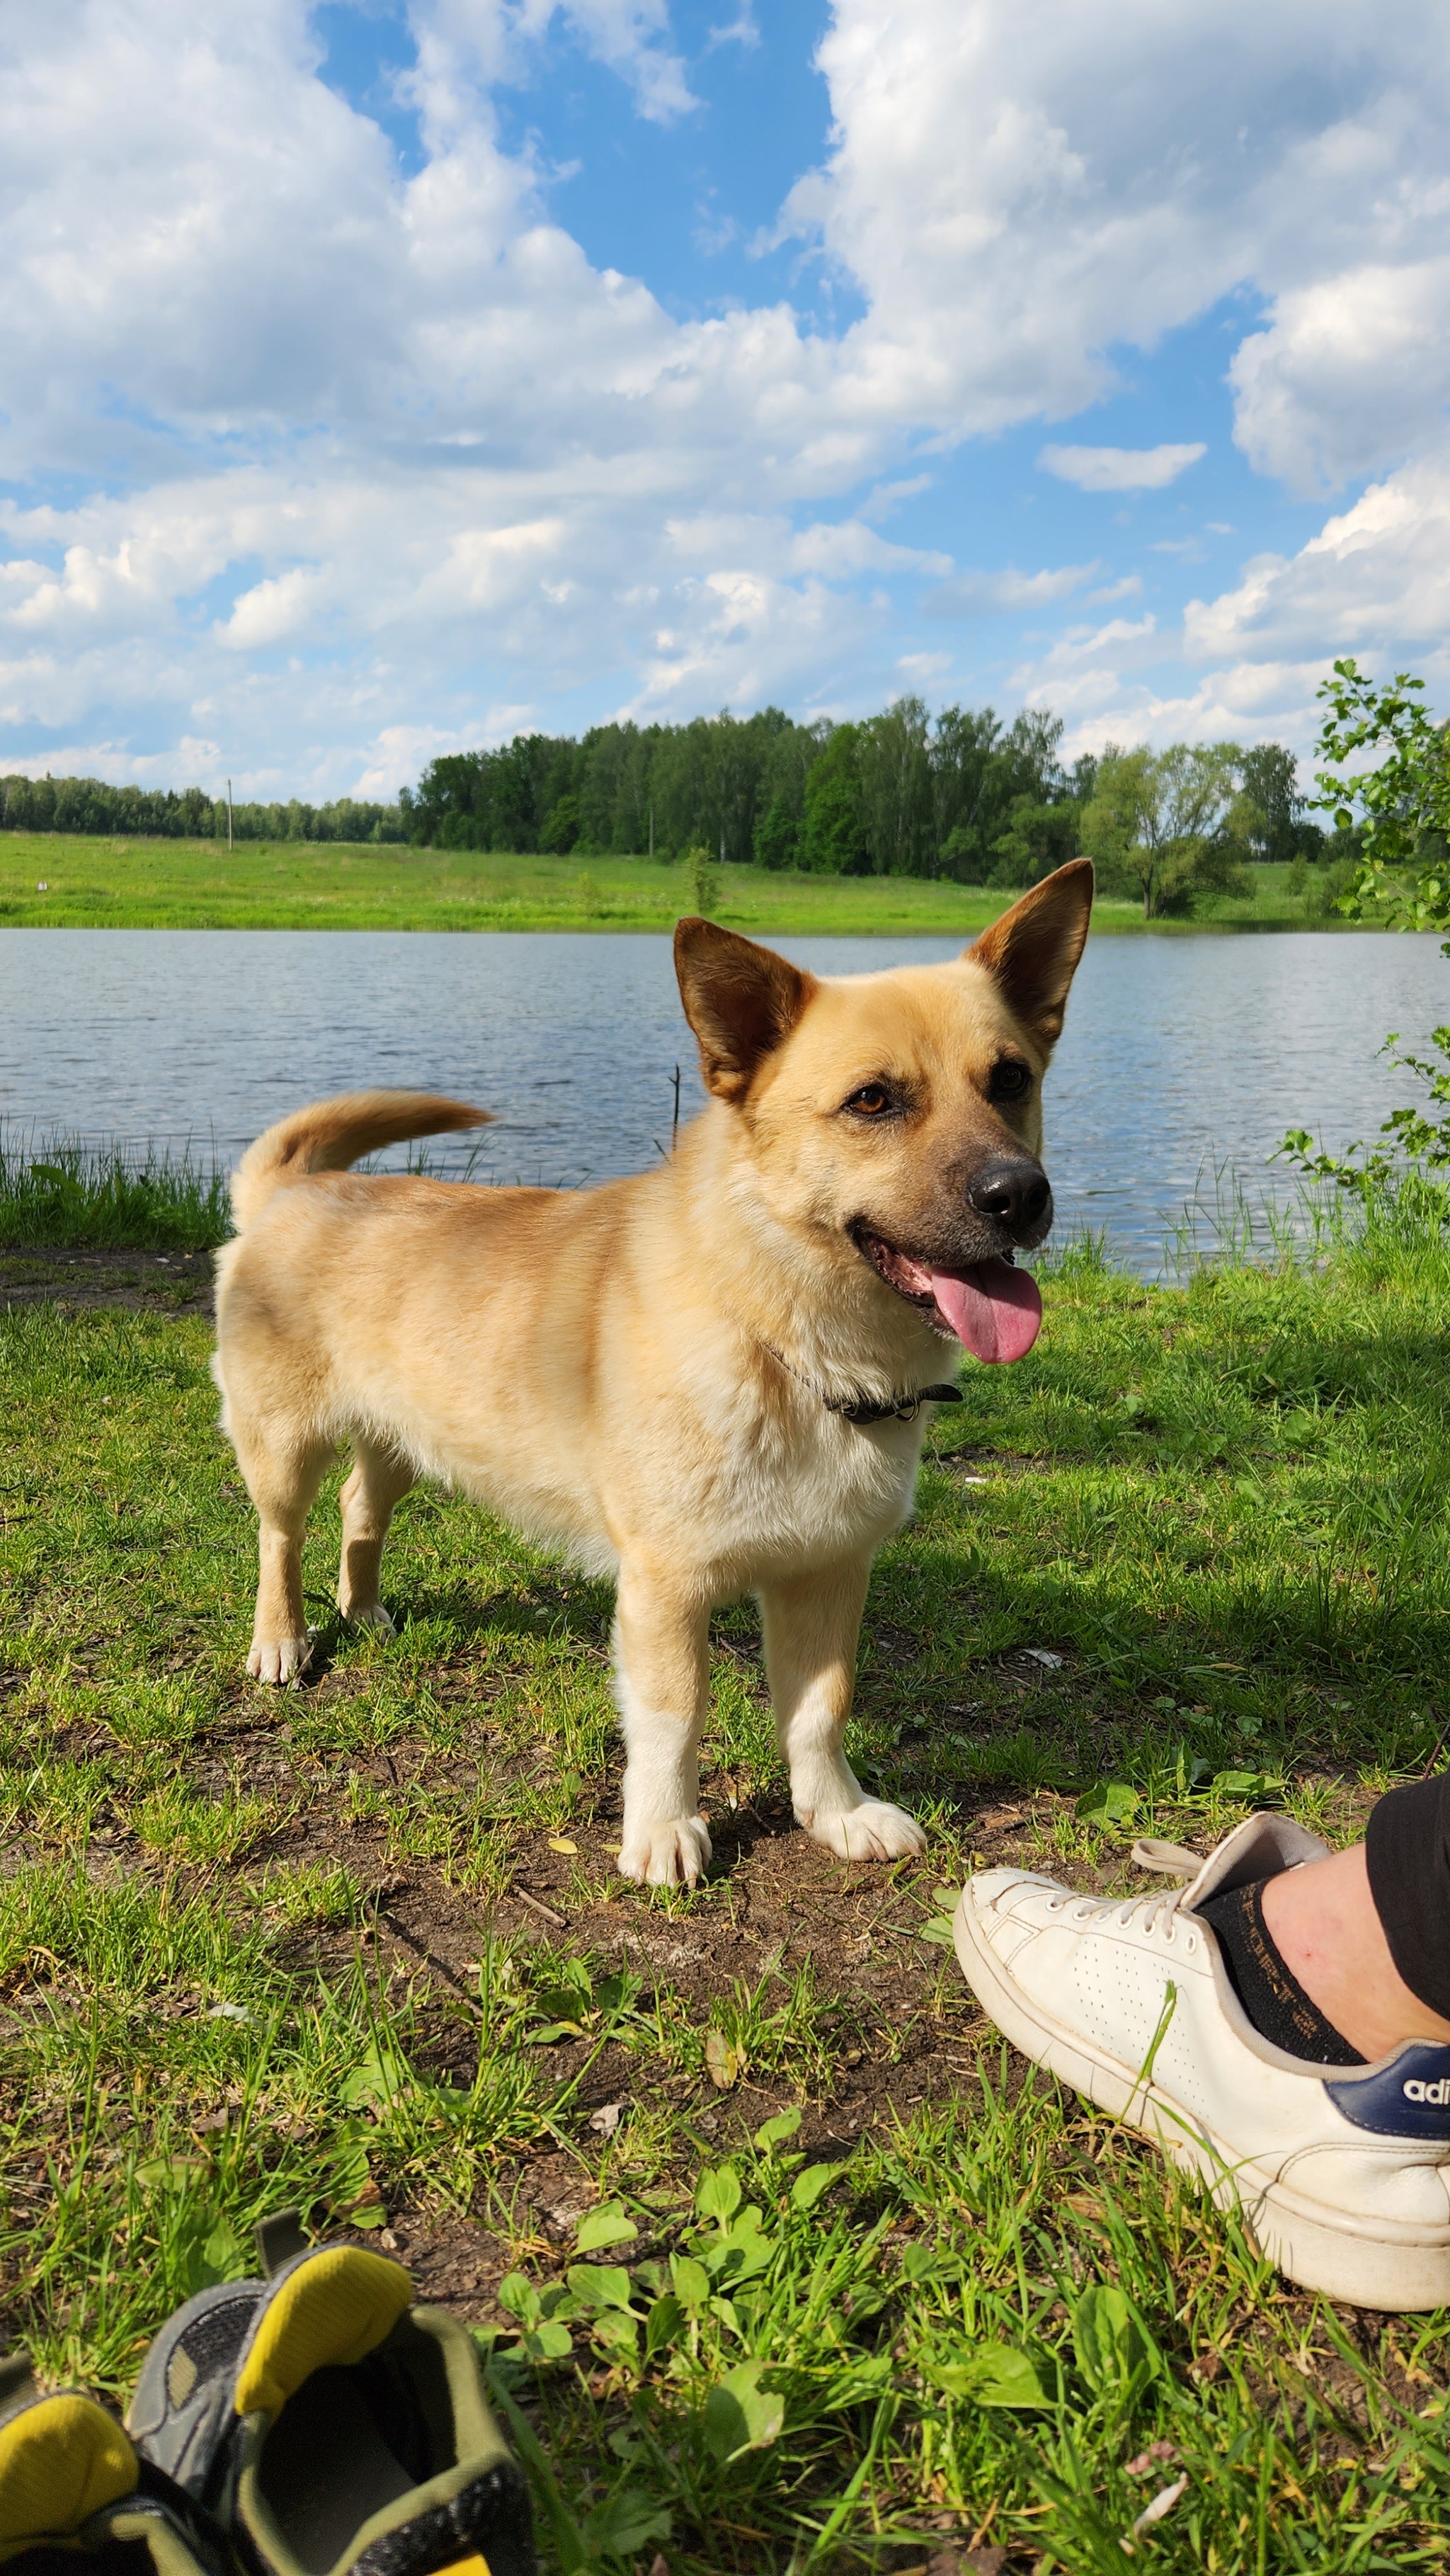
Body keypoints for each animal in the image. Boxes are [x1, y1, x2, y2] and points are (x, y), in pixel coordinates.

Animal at [215, 855, 1097, 1886]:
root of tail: (296, 1189)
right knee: (281, 1540)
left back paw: (364, 1609)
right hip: (283, 1449)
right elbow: (675, 1717)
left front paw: (835, 1814)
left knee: (362, 1510)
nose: (1019, 1194)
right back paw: (283, 1641)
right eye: (873, 1100)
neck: (785, 1341)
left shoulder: (828, 1571)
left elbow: (820, 1710)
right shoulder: (665, 1587)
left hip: (405, 1440)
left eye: (1011, 1079)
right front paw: (664, 1830)